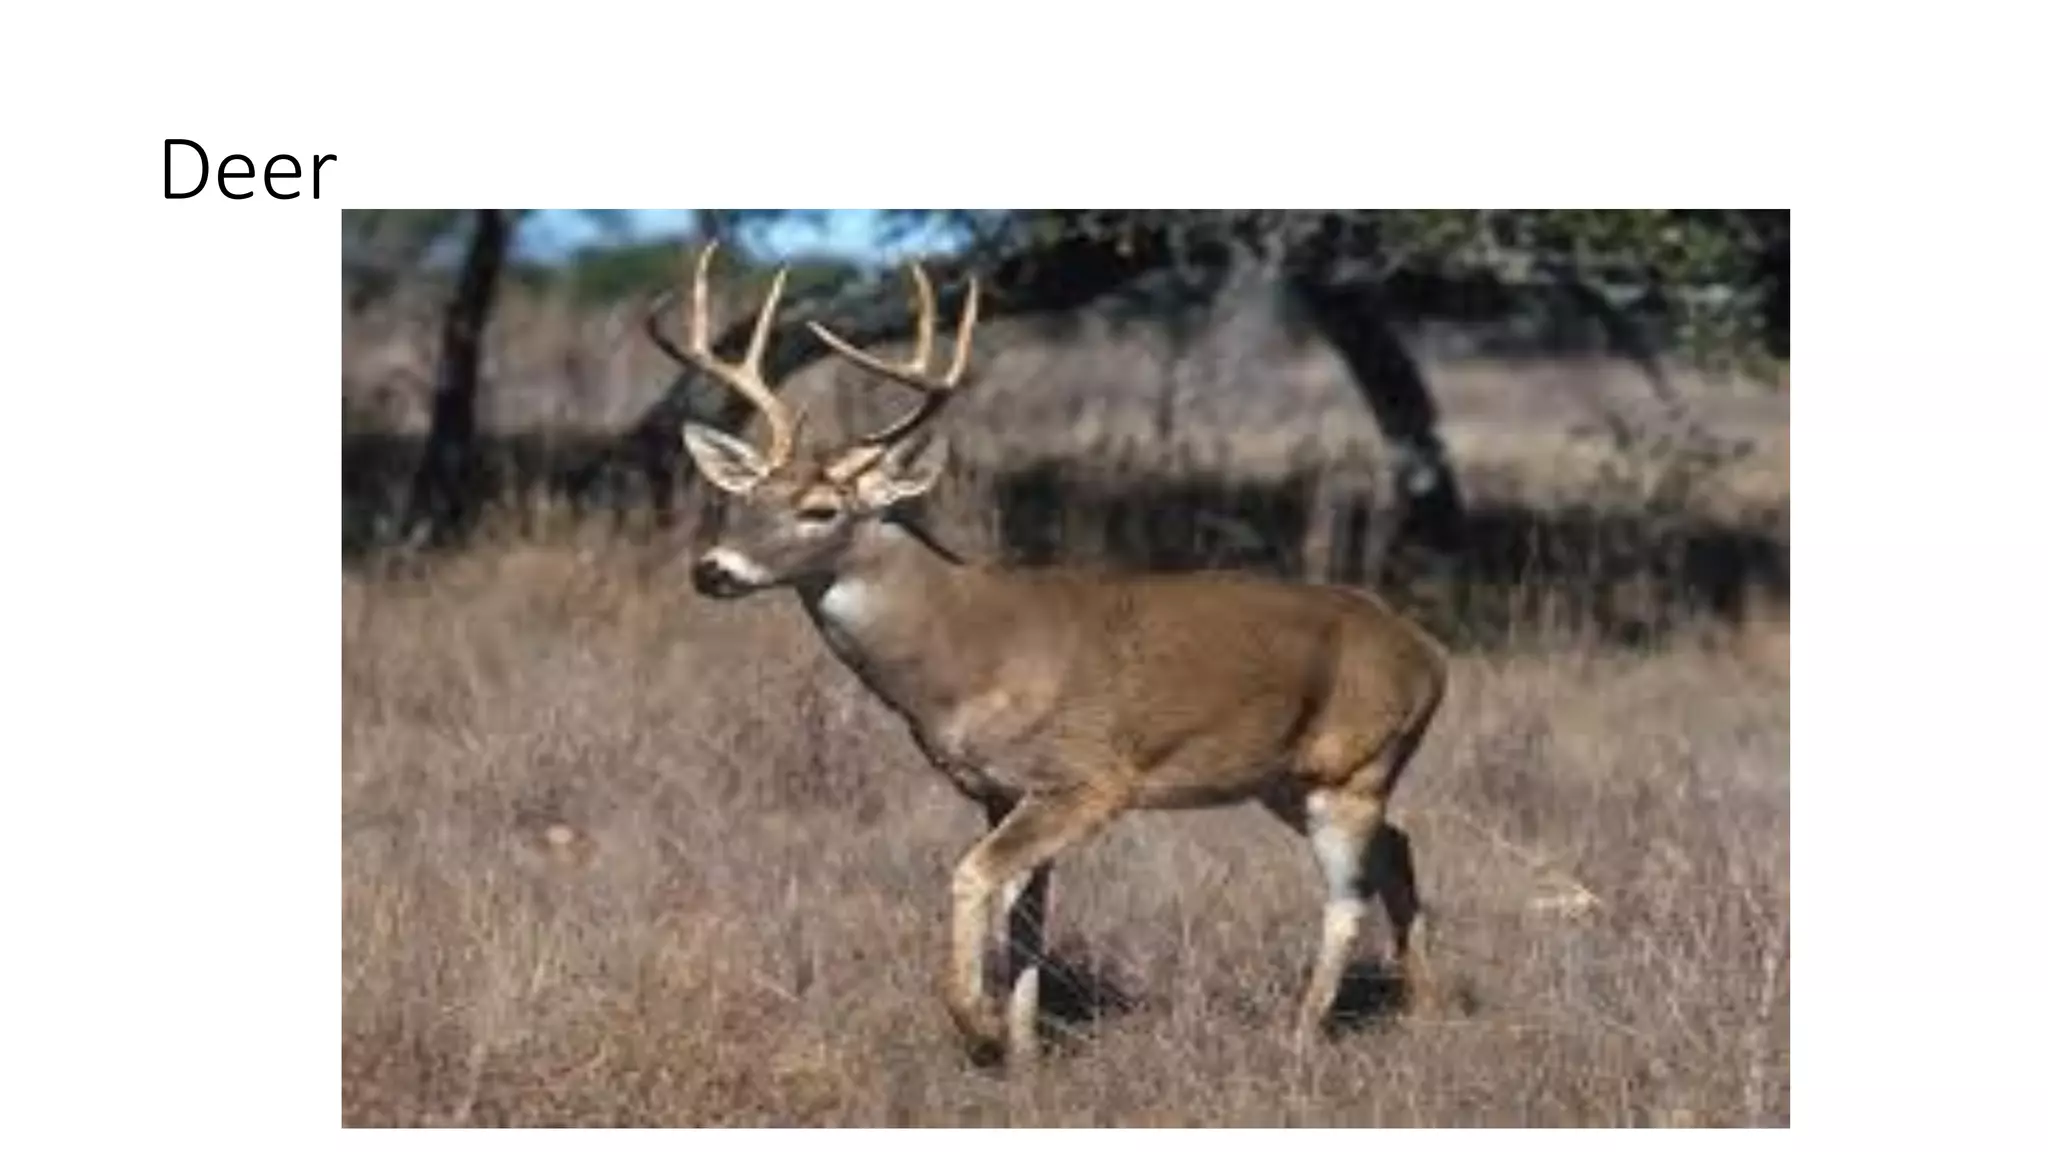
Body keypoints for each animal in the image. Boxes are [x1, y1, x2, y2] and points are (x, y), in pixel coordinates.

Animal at [656, 240, 1451, 1068]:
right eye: (743, 500)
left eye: (820, 510)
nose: (712, 570)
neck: (962, 653)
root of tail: (1430, 654)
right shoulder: (999, 790)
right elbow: (1028, 917)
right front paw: (1025, 1049)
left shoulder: (1086, 778)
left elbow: (974, 877)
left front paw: (978, 1026)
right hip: (1288, 780)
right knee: (1398, 849)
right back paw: (1425, 1008)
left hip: (1354, 767)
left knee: (1347, 897)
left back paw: (1298, 1034)